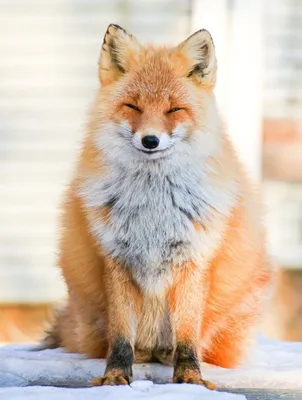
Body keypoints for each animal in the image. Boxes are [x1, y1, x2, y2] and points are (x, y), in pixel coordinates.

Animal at [42, 22, 274, 388]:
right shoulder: (116, 260)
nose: (150, 140)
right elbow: (120, 335)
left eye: (174, 110)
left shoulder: (194, 259)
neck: (154, 212)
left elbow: (188, 335)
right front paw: (115, 376)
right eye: (133, 107)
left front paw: (190, 377)